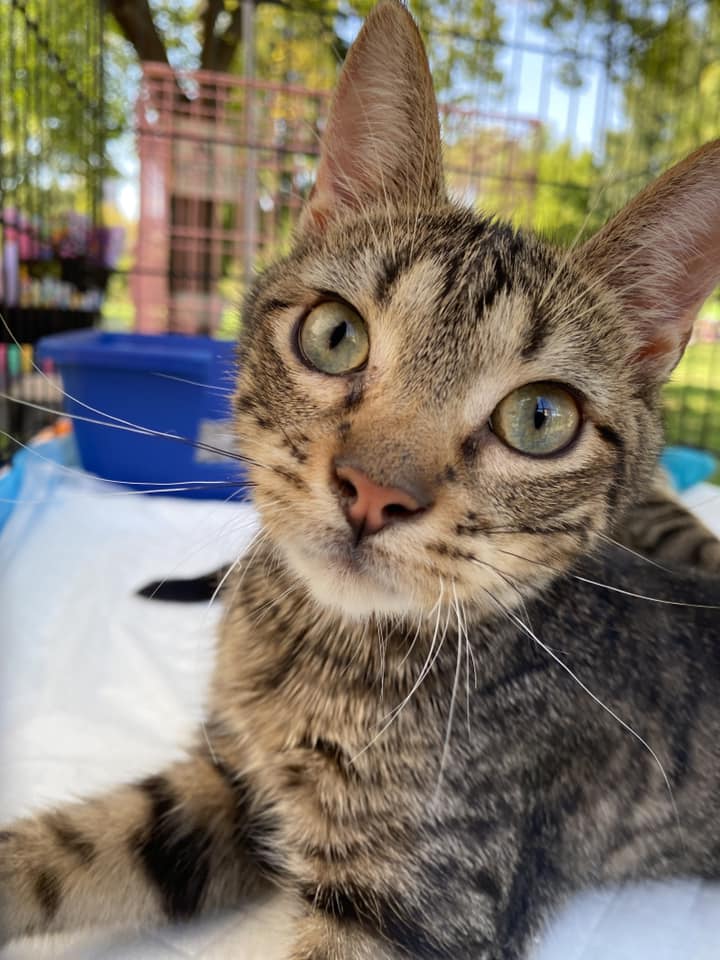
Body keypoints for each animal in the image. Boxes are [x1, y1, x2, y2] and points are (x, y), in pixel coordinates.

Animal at [1, 3, 720, 956]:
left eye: (540, 419)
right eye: (336, 334)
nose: (374, 493)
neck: (310, 651)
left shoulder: (420, 903)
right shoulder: (224, 785)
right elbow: (65, 850)